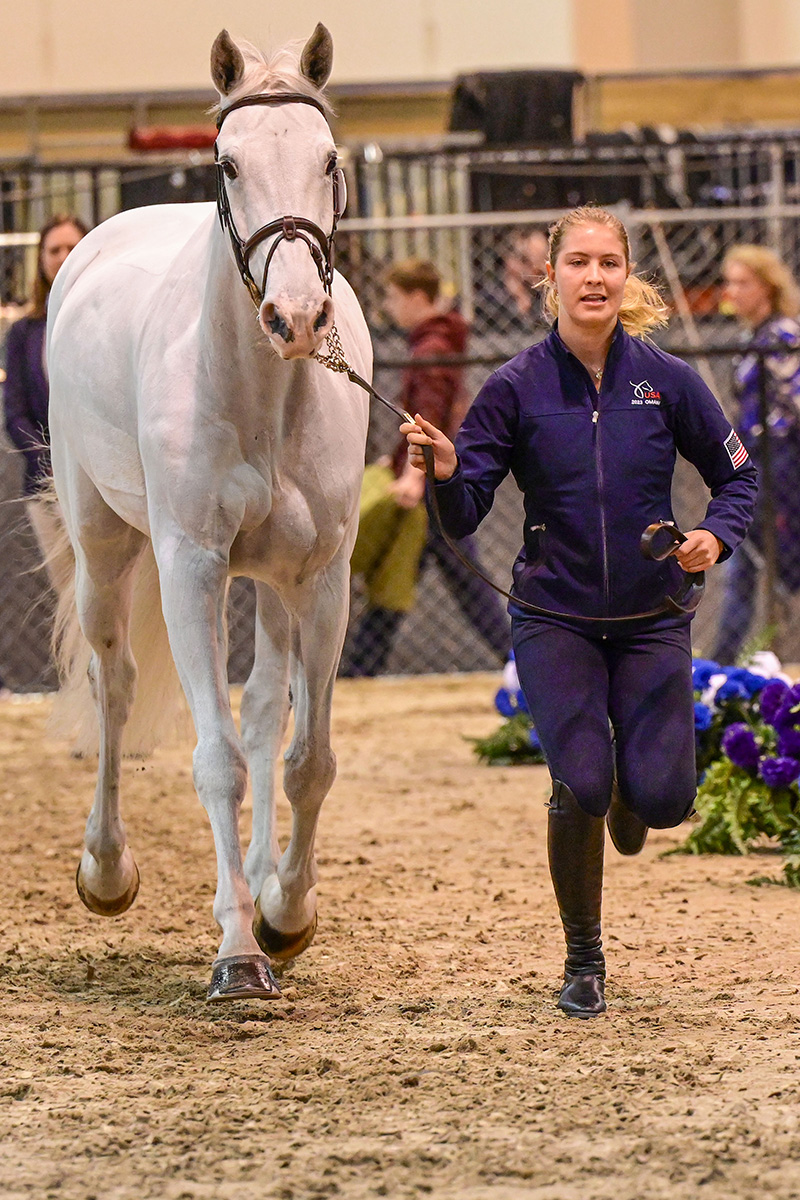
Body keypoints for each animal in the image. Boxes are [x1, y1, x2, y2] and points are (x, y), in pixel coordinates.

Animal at [48, 23, 374, 1003]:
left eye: (328, 158)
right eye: (228, 163)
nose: (296, 316)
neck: (262, 398)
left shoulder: (321, 580)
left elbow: (306, 759)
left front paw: (285, 914)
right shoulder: (192, 570)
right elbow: (216, 759)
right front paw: (236, 952)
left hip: (269, 584)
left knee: (266, 709)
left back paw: (264, 884)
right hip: (106, 551)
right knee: (113, 687)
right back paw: (107, 869)